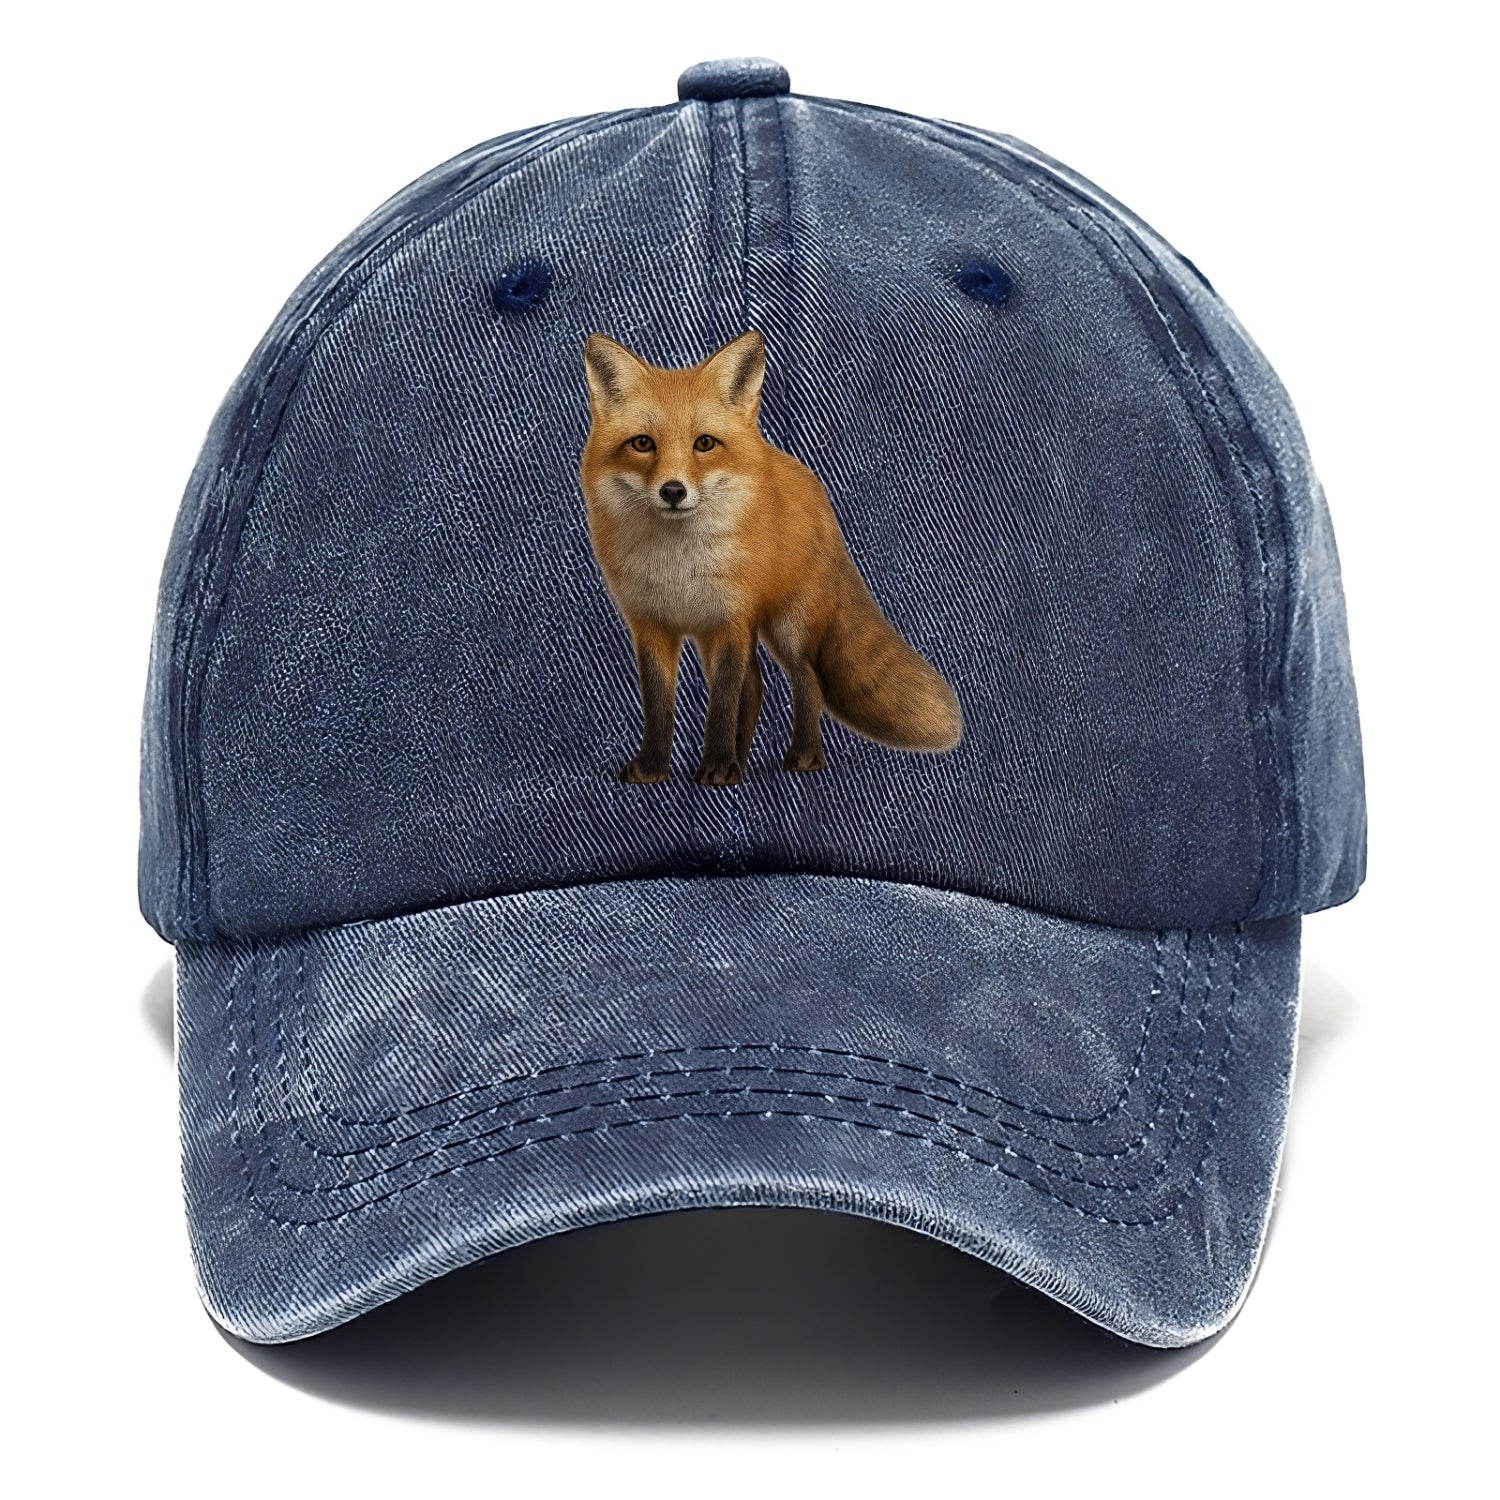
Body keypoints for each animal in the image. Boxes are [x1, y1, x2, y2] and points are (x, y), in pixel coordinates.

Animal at [579, 329, 963, 786]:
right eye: (642, 444)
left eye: (704, 443)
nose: (673, 491)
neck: (680, 566)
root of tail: (812, 486)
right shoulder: (654, 626)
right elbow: (659, 707)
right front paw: (654, 766)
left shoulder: (731, 621)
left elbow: (722, 704)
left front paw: (717, 766)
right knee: (757, 687)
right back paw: (744, 761)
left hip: (788, 625)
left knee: (808, 679)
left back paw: (803, 755)